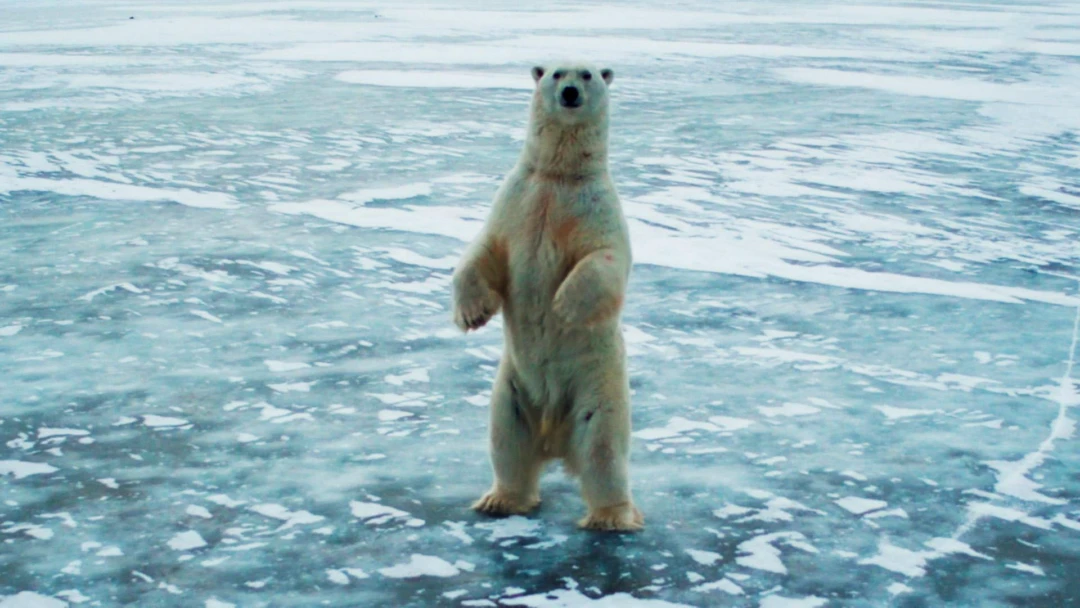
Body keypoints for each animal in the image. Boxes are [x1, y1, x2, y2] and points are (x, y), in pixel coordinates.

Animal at [451, 62, 642, 531]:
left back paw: (611, 517)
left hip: (598, 388)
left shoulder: (594, 206)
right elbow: (484, 251)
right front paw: (471, 314)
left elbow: (604, 257)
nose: (570, 92)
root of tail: (554, 438)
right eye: (556, 73)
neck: (558, 177)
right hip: (512, 391)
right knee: (507, 441)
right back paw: (500, 499)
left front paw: (563, 306)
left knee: (602, 450)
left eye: (588, 74)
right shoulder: (517, 201)